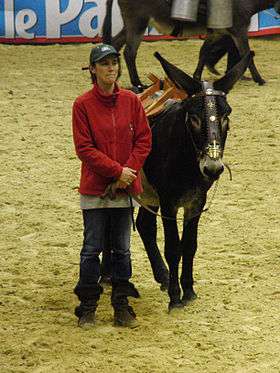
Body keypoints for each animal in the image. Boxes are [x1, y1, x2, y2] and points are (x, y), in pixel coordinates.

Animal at [101, 51, 250, 308]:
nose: (213, 168)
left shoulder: (196, 202)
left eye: (226, 115)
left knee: (145, 227)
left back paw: (161, 275)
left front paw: (188, 290)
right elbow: (173, 247)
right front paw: (175, 297)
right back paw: (107, 276)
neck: (187, 162)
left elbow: (189, 246)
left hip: (149, 195)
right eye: (194, 117)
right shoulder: (169, 202)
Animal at [103, 0, 280, 90]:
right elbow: (246, 54)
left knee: (115, 44)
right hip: (138, 22)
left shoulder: (218, 32)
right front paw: (260, 79)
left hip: (131, 24)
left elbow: (204, 52)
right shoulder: (239, 30)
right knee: (129, 52)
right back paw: (138, 83)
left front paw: (196, 76)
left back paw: (115, 79)